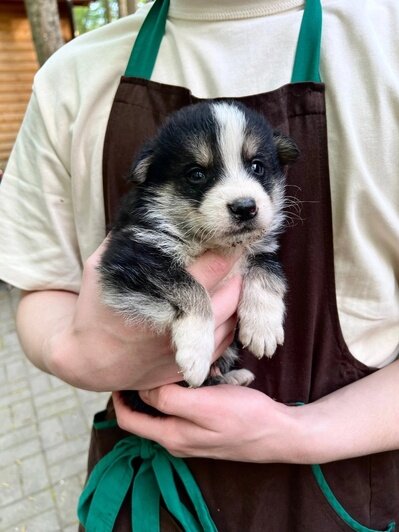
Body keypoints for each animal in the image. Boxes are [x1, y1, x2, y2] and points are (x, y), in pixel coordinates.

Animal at [99, 102, 298, 404]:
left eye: (257, 166)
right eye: (196, 174)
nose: (245, 207)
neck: (213, 243)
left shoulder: (263, 249)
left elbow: (267, 273)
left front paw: (263, 327)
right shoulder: (133, 256)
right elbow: (192, 288)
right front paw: (195, 353)